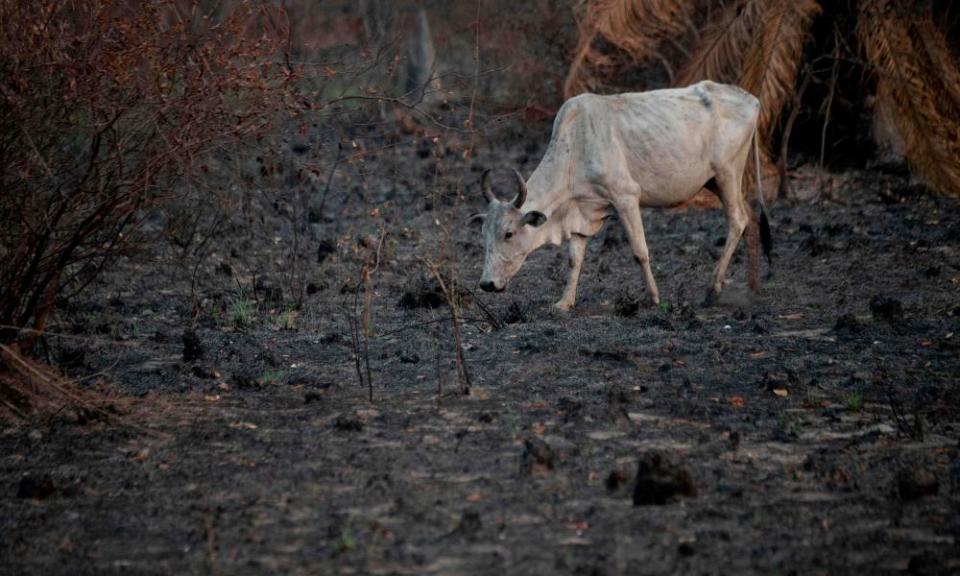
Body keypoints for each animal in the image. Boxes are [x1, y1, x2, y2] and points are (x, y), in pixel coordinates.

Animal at [472, 81, 772, 310]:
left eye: (508, 234)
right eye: (484, 234)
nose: (487, 283)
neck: (575, 150)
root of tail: (752, 99)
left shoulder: (626, 197)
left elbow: (640, 251)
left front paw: (654, 298)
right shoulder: (581, 213)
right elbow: (574, 259)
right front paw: (564, 302)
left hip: (727, 173)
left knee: (738, 220)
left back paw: (713, 289)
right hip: (716, 182)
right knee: (751, 216)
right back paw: (754, 287)